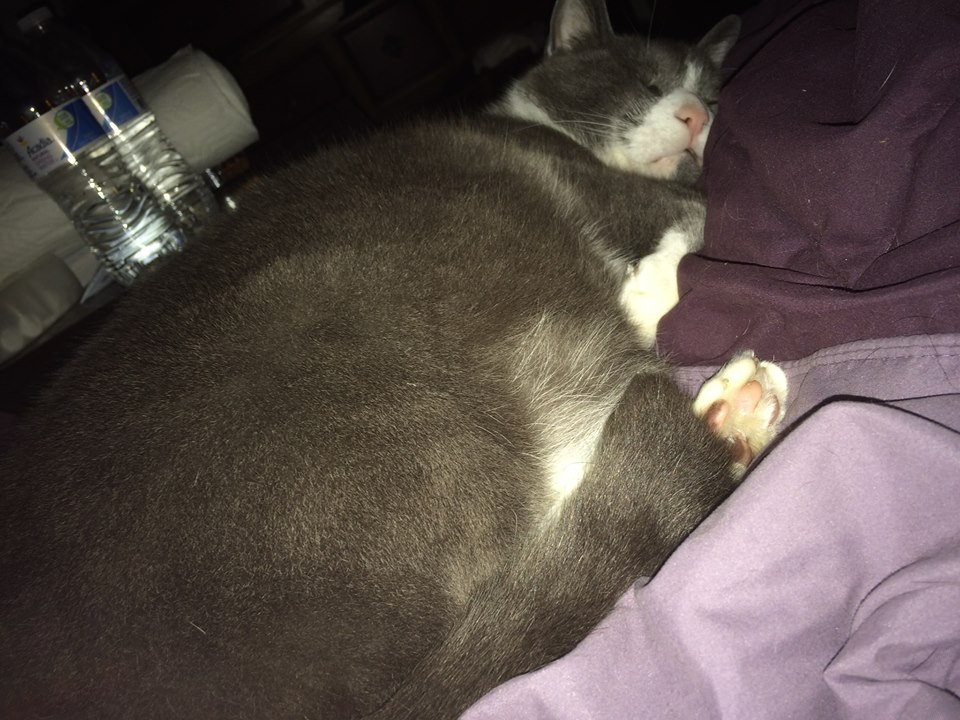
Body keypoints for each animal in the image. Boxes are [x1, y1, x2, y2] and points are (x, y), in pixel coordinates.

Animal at [0, 1, 787, 718]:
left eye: (717, 95)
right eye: (646, 83)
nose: (696, 116)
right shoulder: (600, 181)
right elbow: (700, 210)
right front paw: (651, 286)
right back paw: (726, 415)